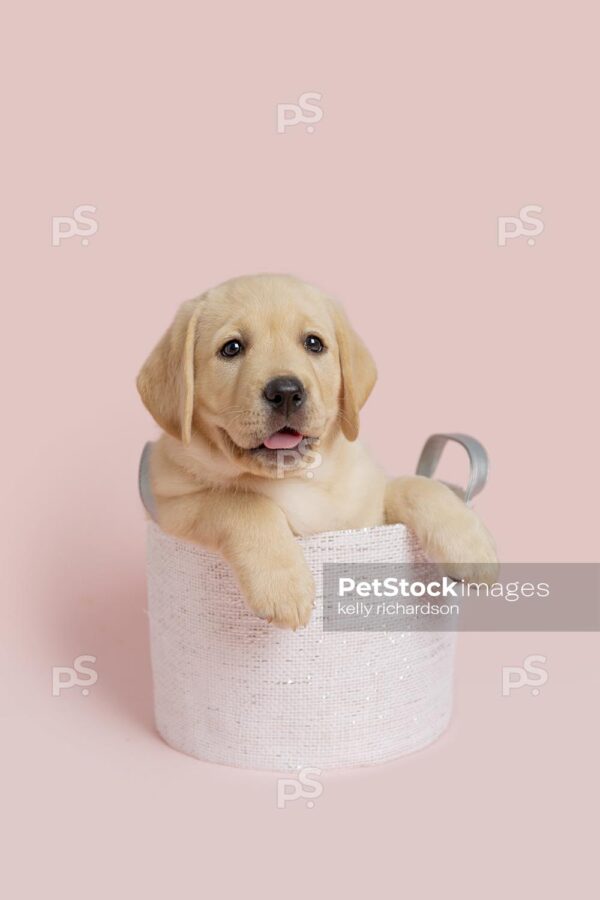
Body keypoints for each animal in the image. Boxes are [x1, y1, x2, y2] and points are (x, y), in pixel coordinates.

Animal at [137, 270, 496, 628]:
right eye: (232, 348)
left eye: (313, 343)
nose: (285, 392)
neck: (297, 478)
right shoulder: (173, 506)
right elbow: (242, 502)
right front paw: (283, 586)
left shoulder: (368, 515)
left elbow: (415, 485)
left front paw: (470, 545)